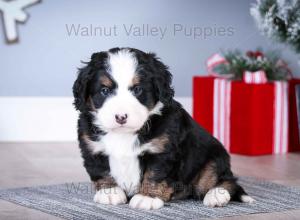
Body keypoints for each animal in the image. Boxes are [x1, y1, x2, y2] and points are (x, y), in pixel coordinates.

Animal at [72, 47, 253, 210]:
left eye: (138, 89)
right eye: (104, 90)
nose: (121, 117)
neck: (125, 133)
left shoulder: (163, 150)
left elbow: (155, 174)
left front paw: (147, 197)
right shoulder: (92, 147)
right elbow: (101, 170)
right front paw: (109, 192)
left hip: (213, 159)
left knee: (225, 180)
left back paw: (216, 195)